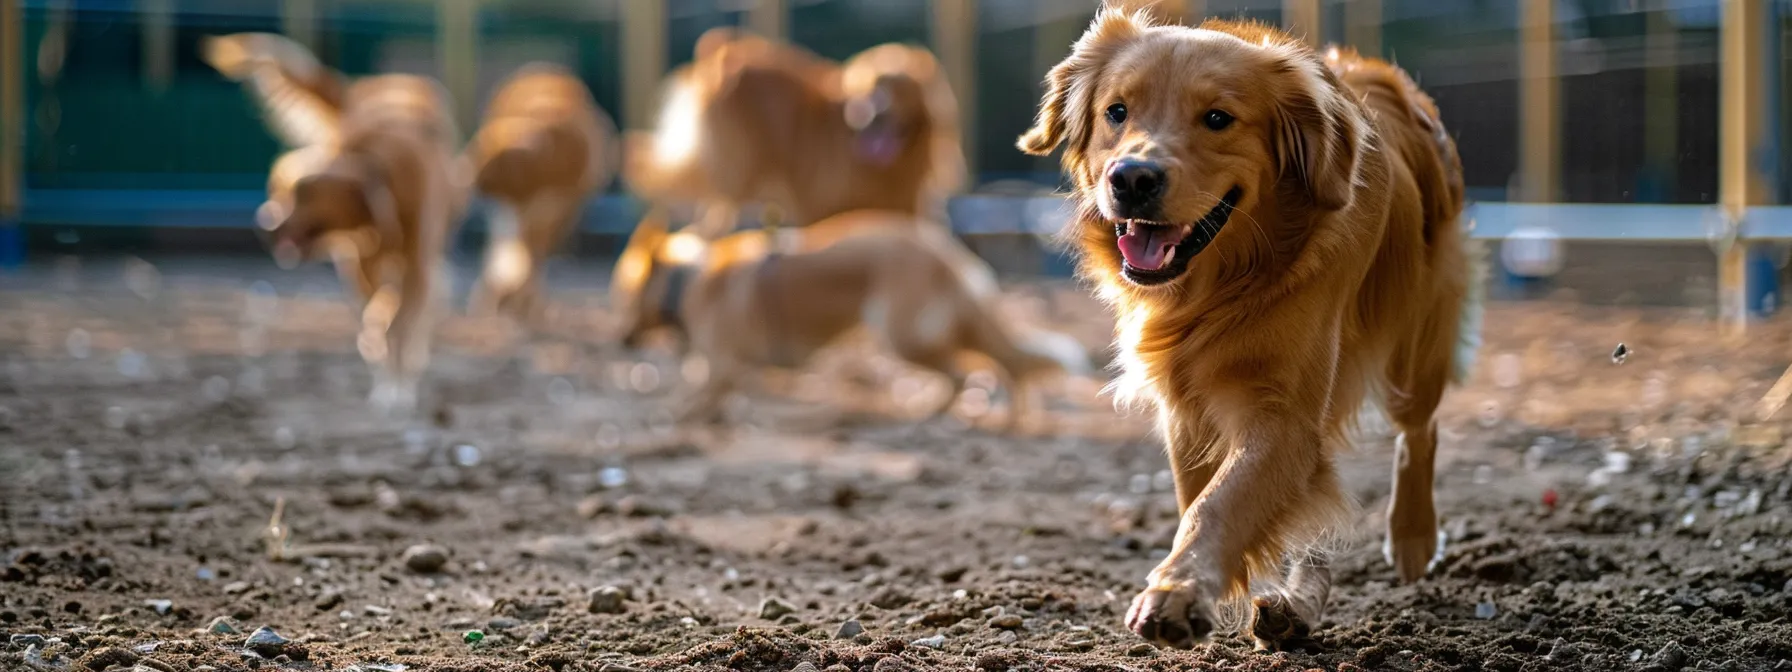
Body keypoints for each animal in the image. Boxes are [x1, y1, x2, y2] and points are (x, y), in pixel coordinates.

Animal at [204, 32, 469, 415]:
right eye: (277, 190)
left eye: (304, 194)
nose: (262, 226)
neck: (380, 173)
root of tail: (389, 80)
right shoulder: (360, 265)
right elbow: (378, 317)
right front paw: (383, 374)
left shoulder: (416, 264)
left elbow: (401, 322)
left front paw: (400, 387)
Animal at [612, 210, 1089, 431]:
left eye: (622, 294)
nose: (620, 341)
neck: (687, 280)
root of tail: (946, 253)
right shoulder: (721, 371)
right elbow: (707, 398)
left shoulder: (722, 367)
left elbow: (689, 401)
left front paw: (669, 416)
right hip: (939, 332)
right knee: (999, 365)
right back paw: (1011, 414)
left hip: (902, 336)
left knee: (964, 373)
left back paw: (930, 411)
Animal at [627, 29, 967, 245]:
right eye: (863, 87)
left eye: (893, 84)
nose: (863, 112)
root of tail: (723, 54)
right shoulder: (817, 206)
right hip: (739, 171)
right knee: (709, 222)